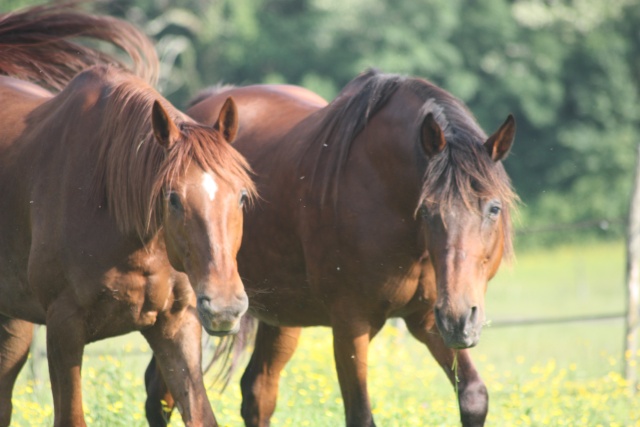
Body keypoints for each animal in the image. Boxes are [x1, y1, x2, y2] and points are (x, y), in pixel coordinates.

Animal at [145, 71, 516, 427]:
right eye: (426, 211)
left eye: (494, 208)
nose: (459, 319)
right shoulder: (351, 324)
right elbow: (360, 415)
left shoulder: (427, 318)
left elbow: (473, 396)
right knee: (163, 394)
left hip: (281, 317)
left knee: (256, 391)